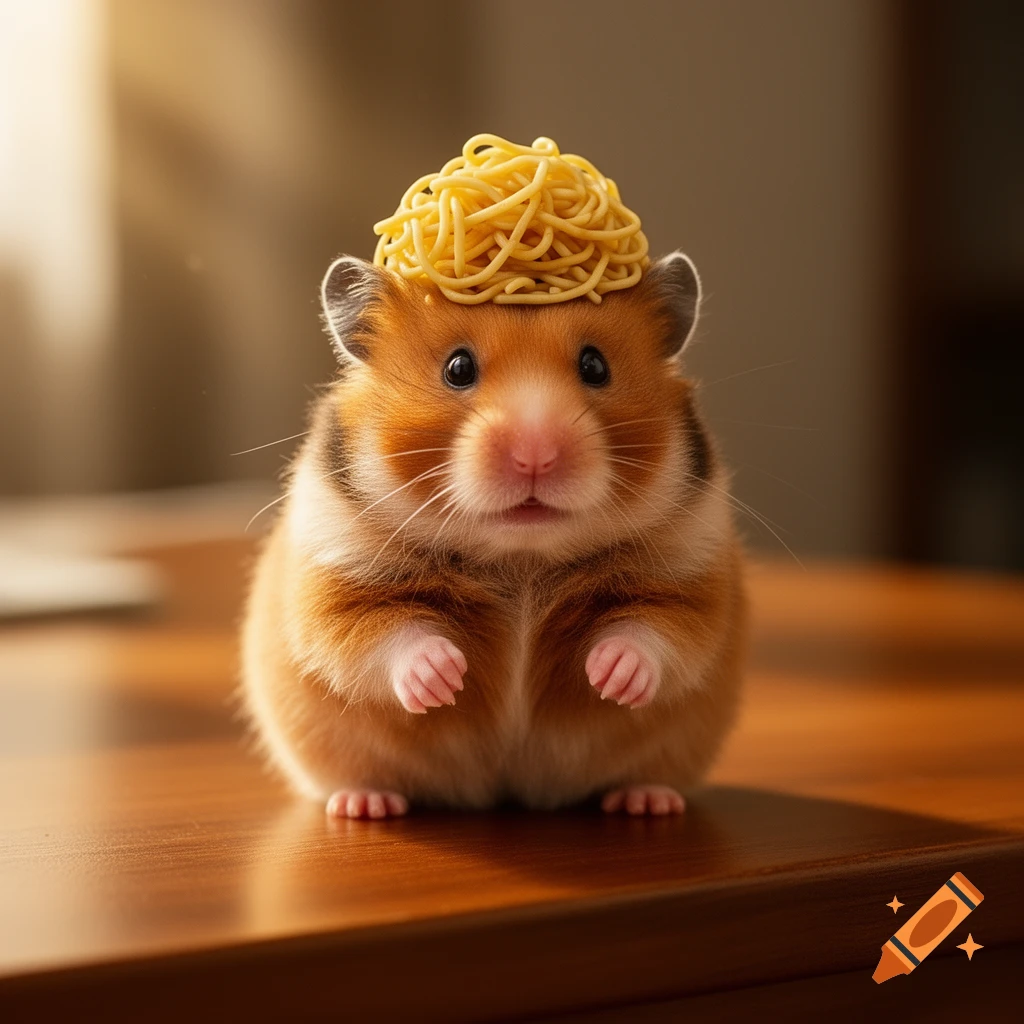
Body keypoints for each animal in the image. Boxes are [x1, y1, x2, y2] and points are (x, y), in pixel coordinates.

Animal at [241, 251, 747, 818]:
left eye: (595, 366)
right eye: (457, 368)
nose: (535, 456)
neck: (520, 557)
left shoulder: (689, 571)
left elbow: (658, 630)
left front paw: (609, 677)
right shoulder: (337, 576)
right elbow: (380, 634)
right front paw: (445, 678)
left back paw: (646, 802)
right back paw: (364, 806)